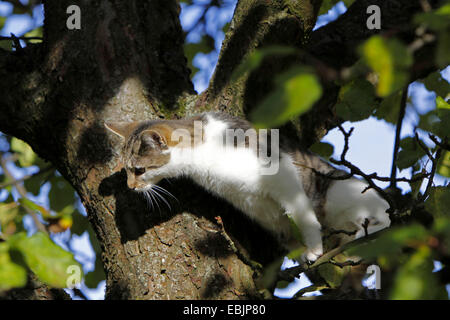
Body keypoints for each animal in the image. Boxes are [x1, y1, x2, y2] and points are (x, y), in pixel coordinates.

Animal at [104, 112, 390, 262]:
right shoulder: (251, 203)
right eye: (126, 170)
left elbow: (302, 214)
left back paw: (366, 234)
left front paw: (312, 248)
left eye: (139, 170)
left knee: (379, 221)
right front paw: (299, 250)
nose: (130, 186)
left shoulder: (281, 171)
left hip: (342, 194)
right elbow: (283, 226)